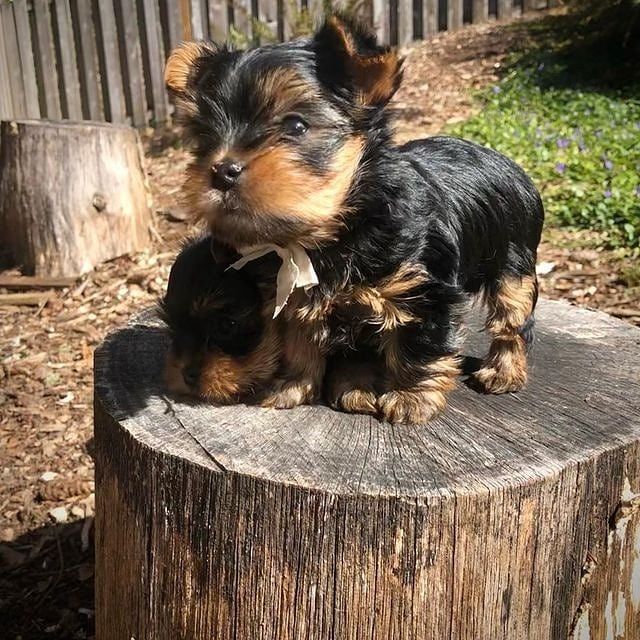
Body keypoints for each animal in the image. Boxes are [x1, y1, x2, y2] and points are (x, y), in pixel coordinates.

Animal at [164, 13, 544, 423]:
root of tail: (506, 162)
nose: (221, 171)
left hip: (513, 262)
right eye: (205, 137)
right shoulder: (298, 301)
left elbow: (420, 346)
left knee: (512, 319)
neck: (340, 228)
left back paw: (504, 372)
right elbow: (300, 342)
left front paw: (410, 397)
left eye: (296, 126)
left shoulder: (426, 291)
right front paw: (292, 386)